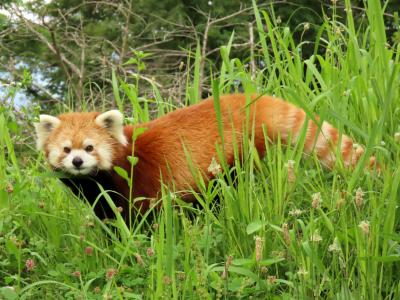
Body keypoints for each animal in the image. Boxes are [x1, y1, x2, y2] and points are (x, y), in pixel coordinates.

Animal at [33, 94, 376, 220]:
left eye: (90, 148)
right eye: (66, 150)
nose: (78, 162)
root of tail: (251, 100)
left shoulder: (137, 184)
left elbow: (142, 218)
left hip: (235, 155)